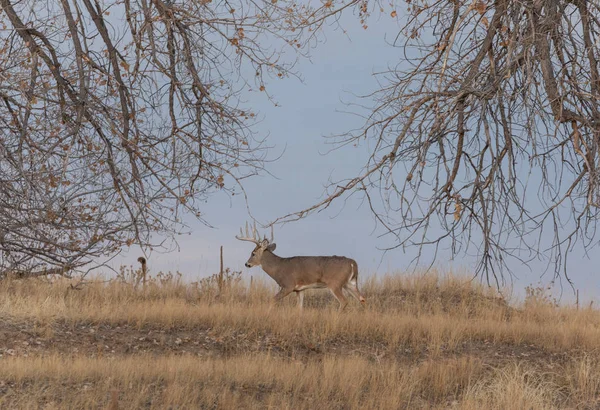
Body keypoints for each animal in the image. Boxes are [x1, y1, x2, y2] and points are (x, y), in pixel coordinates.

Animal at [236, 223, 366, 310]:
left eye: (253, 253)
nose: (247, 264)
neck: (278, 268)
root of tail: (352, 263)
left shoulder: (288, 285)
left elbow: (272, 300)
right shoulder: (300, 289)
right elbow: (299, 308)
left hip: (335, 283)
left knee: (344, 301)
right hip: (350, 283)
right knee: (362, 299)